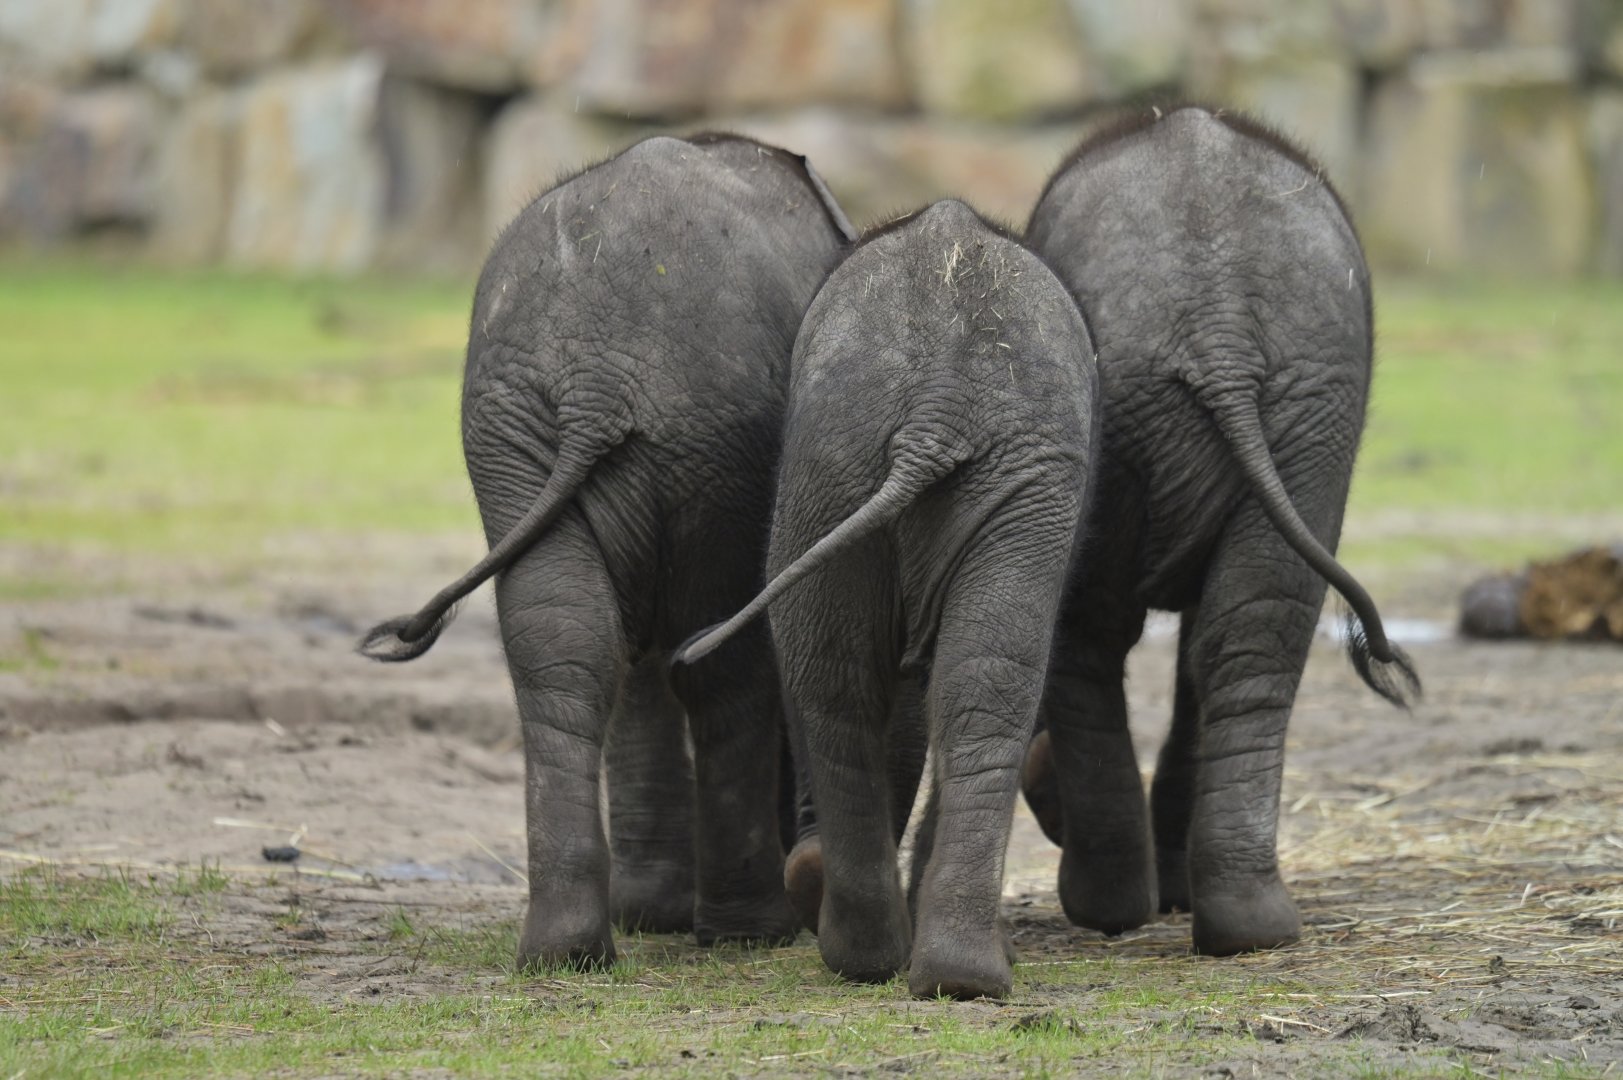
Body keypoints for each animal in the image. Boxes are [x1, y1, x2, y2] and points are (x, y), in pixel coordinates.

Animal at [358, 133, 856, 970]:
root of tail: (593, 377)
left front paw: (651, 915)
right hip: (702, 437)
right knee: (713, 658)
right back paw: (745, 931)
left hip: (525, 432)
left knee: (565, 641)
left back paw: (568, 948)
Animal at [677, 200, 1100, 1000]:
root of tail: (936, 408)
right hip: (860, 467)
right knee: (925, 681)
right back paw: (925, 967)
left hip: (848, 466)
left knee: (871, 679)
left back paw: (908, 964)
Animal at [1019, 105, 1421, 957]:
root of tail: (1219, 325)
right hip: (1311, 407)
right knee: (1250, 629)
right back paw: (1244, 927)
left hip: (1225, 400)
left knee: (1104, 630)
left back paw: (1120, 908)